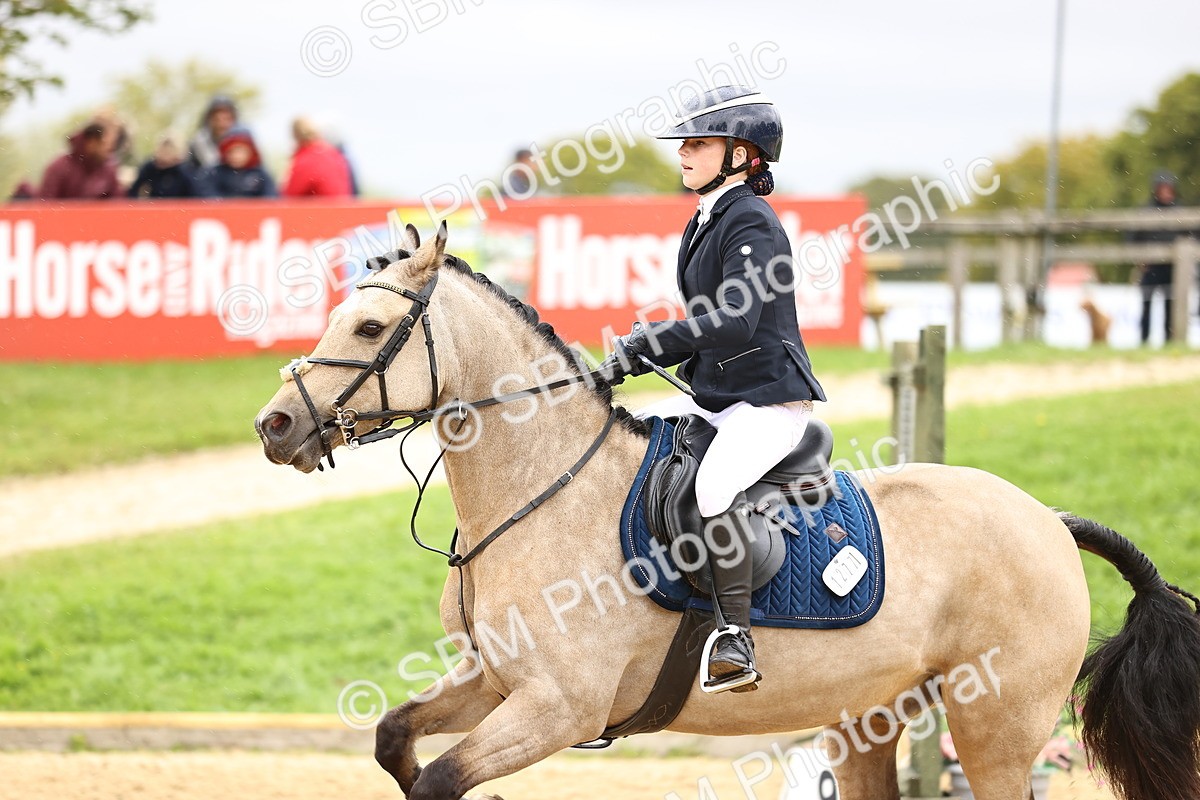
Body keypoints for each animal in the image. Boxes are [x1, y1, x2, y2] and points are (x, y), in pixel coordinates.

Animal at [255, 224, 1200, 800]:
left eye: (369, 329)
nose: (275, 426)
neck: (541, 487)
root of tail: (1047, 518)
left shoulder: (559, 709)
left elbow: (441, 779)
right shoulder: (494, 679)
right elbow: (394, 741)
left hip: (996, 722)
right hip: (869, 720)